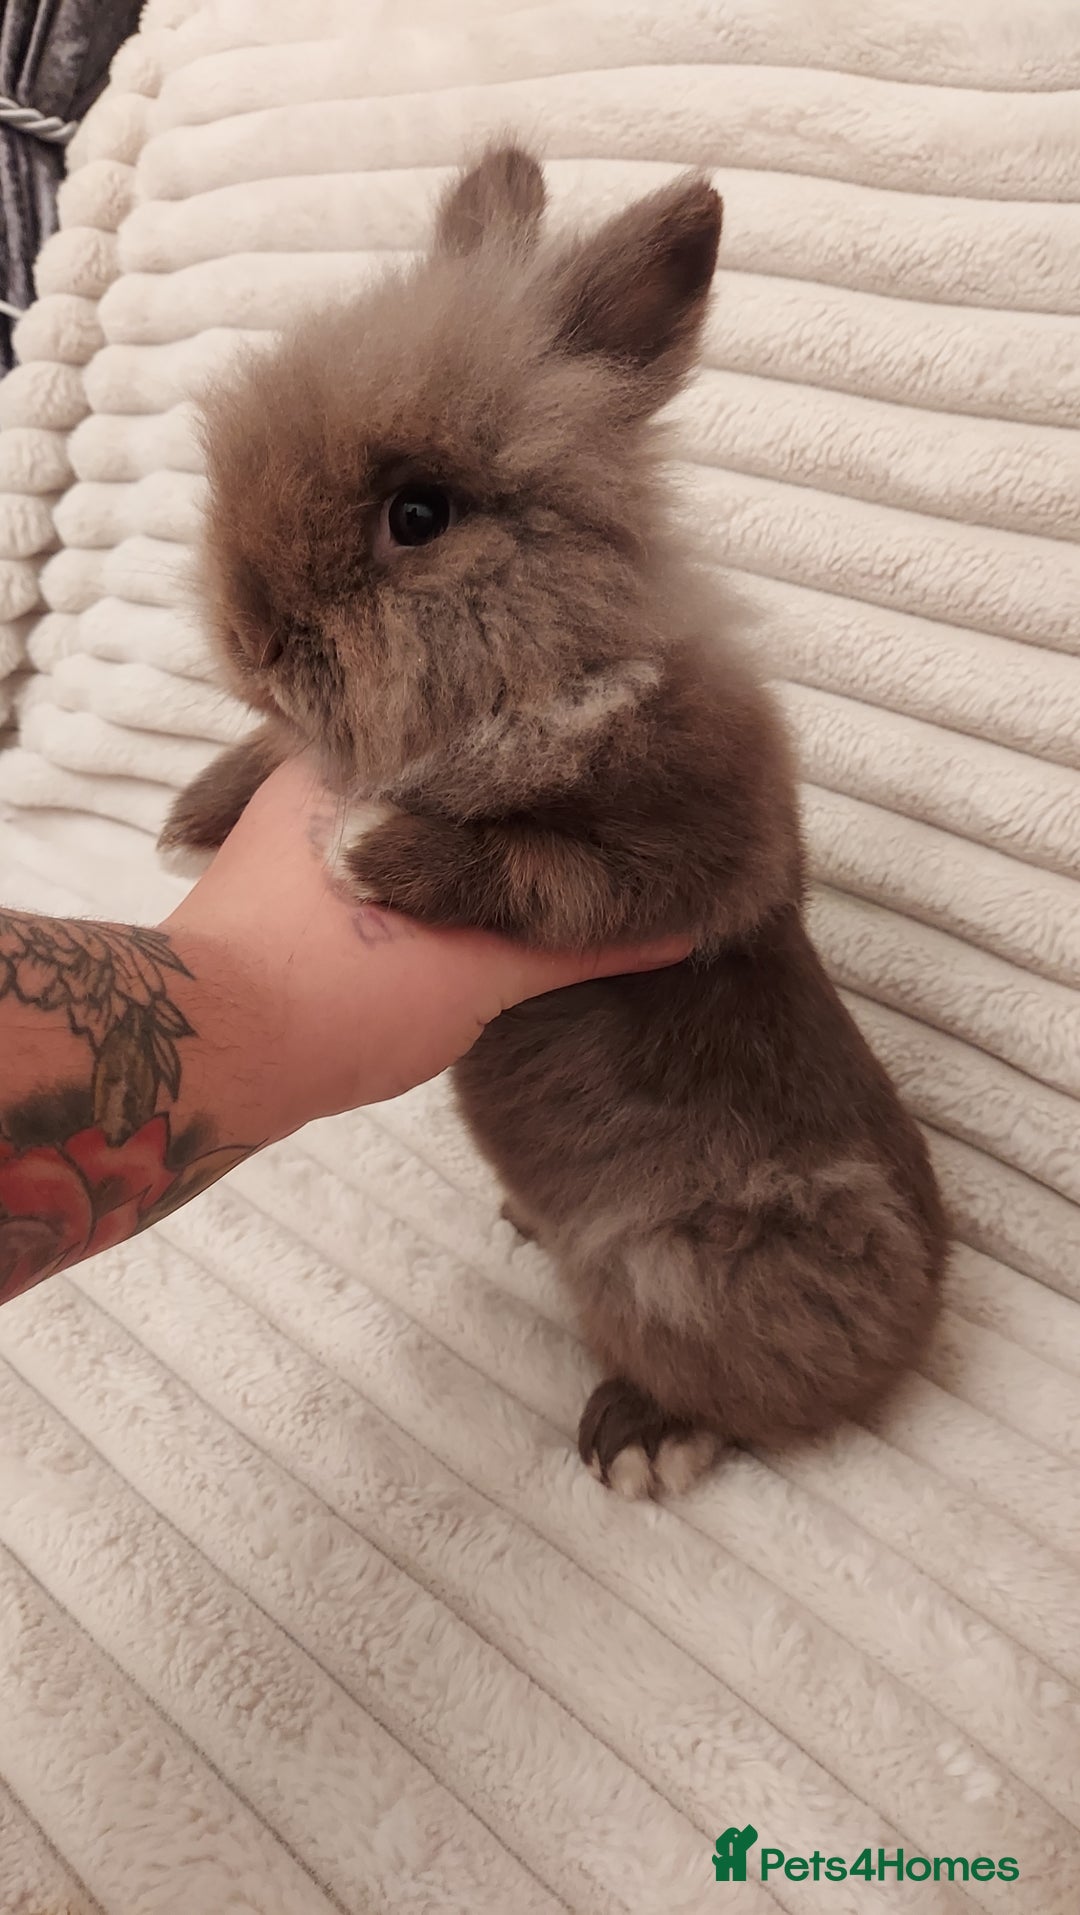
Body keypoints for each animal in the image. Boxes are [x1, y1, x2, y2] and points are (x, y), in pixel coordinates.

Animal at [162, 143, 947, 1498]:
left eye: (418, 515)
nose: (248, 633)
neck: (539, 666)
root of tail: (933, 1307)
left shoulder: (692, 855)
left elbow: (536, 870)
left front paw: (366, 849)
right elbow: (274, 754)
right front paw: (193, 816)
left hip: (702, 1266)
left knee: (763, 1397)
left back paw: (644, 1435)